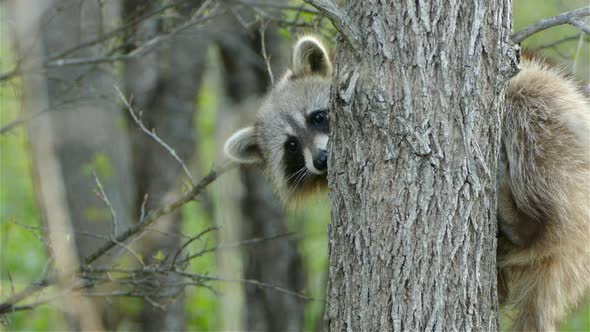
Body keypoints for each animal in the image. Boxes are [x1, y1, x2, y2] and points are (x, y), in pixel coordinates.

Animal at [224, 35, 588, 328]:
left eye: (318, 117)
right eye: (291, 146)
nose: (322, 160)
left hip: (566, 136)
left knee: (532, 97)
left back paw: (525, 222)